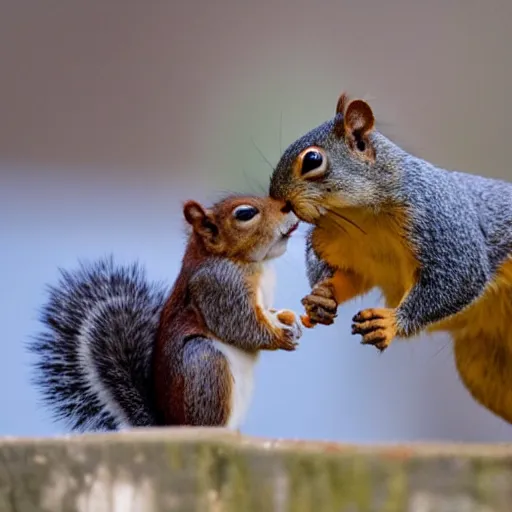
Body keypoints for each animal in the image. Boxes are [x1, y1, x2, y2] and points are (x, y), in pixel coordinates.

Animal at [30, 196, 302, 432]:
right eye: (245, 214)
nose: (289, 208)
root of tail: (168, 426)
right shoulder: (218, 285)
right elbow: (240, 324)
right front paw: (281, 337)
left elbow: (267, 314)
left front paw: (290, 320)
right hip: (204, 369)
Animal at [268, 91, 512, 424]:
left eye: (313, 160)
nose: (277, 201)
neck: (363, 218)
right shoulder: (342, 246)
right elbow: (349, 276)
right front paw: (322, 296)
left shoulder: (442, 224)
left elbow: (461, 276)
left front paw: (390, 322)